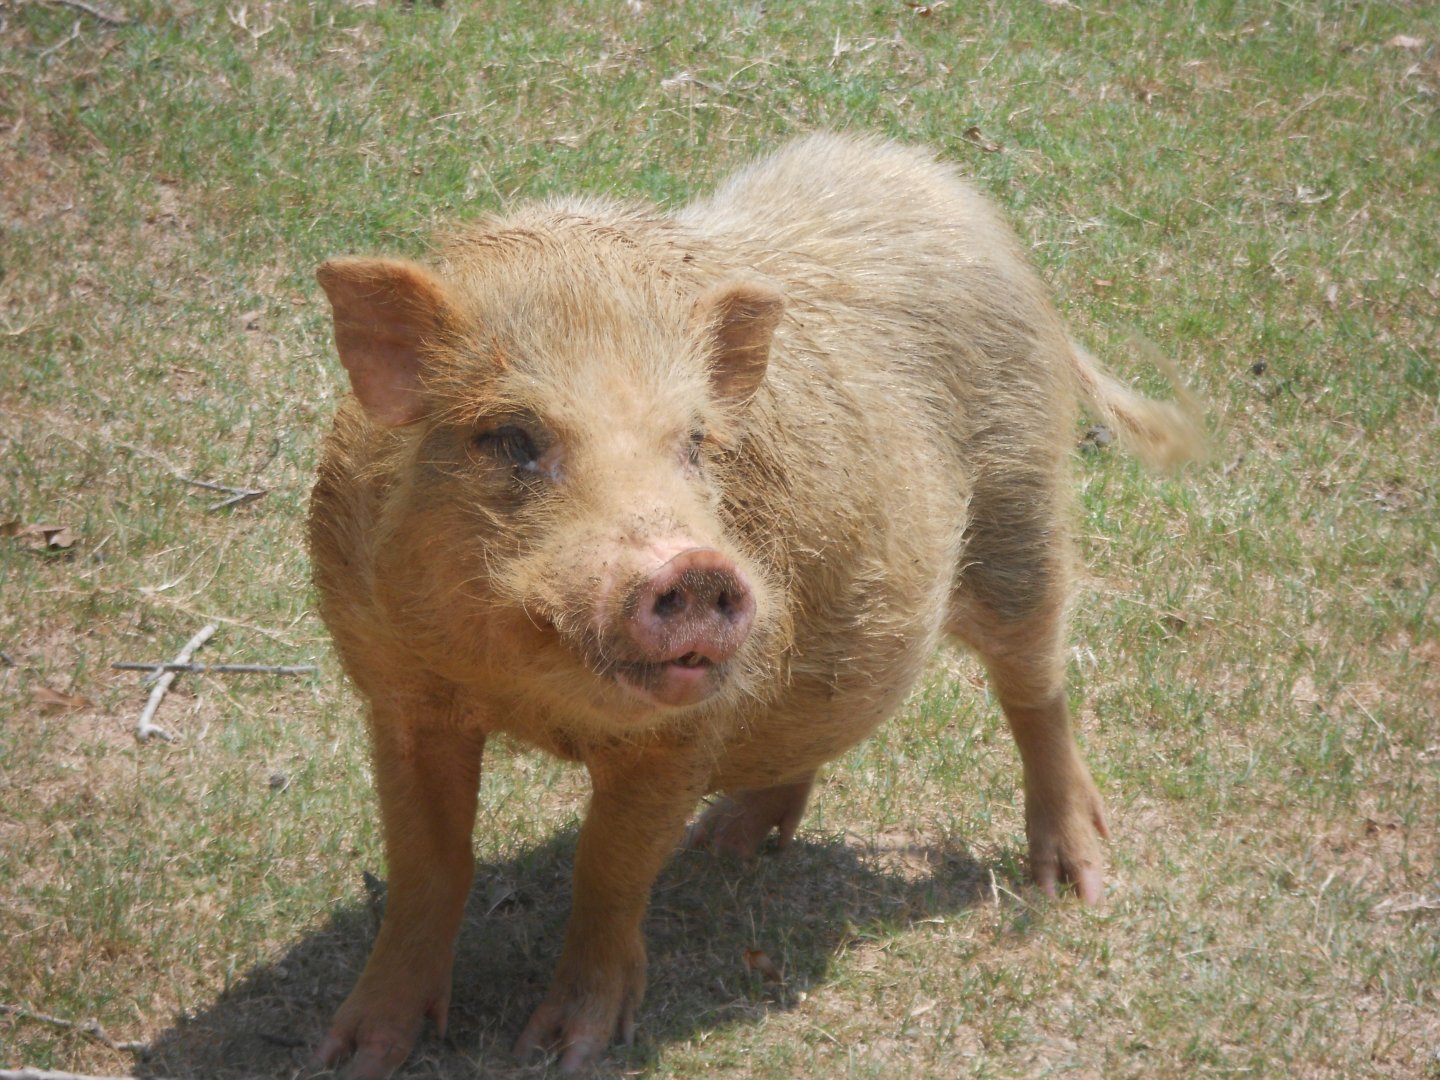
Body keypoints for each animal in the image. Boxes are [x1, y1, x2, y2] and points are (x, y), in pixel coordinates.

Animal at [308, 132, 1200, 1077]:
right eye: (511, 437)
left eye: (696, 443)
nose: (698, 565)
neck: (526, 696)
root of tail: (968, 207)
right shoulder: (395, 690)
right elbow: (428, 864)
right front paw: (351, 1054)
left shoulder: (681, 736)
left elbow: (608, 867)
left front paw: (563, 1049)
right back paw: (727, 846)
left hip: (1021, 507)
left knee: (1035, 685)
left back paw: (1075, 885)